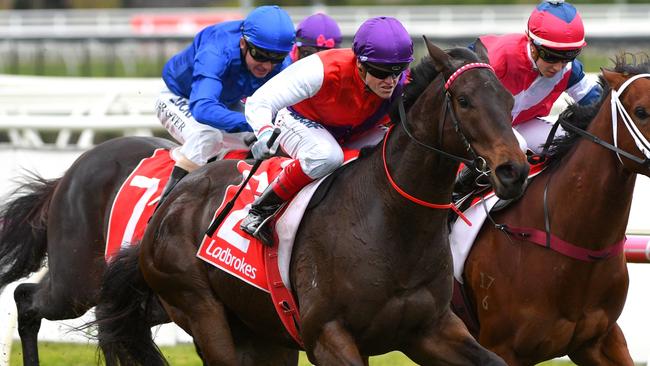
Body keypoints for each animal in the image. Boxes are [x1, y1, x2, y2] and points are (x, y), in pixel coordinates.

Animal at [95, 38, 528, 364]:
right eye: (465, 100)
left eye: (508, 100)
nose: (513, 171)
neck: (390, 219)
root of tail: (169, 205)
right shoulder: (328, 336)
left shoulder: (431, 330)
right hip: (201, 311)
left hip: (261, 334)